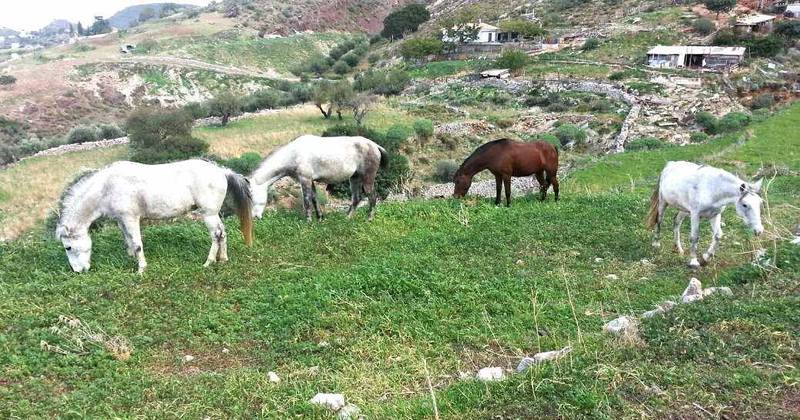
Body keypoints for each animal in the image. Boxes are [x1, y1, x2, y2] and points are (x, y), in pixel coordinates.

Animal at [56, 159, 253, 274]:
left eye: (68, 247)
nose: (78, 271)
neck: (107, 187)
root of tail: (222, 171)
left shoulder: (131, 218)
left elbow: (137, 244)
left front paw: (141, 269)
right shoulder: (121, 220)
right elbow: (128, 240)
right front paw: (130, 257)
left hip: (208, 214)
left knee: (216, 235)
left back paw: (209, 262)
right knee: (223, 233)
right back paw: (223, 259)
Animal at [248, 135, 388, 221]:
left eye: (252, 198)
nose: (255, 217)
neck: (293, 154)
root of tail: (375, 146)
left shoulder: (305, 179)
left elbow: (307, 200)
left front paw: (308, 221)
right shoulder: (310, 181)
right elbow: (314, 198)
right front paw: (320, 218)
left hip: (367, 179)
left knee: (372, 196)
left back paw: (369, 218)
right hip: (354, 178)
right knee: (356, 198)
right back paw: (347, 218)